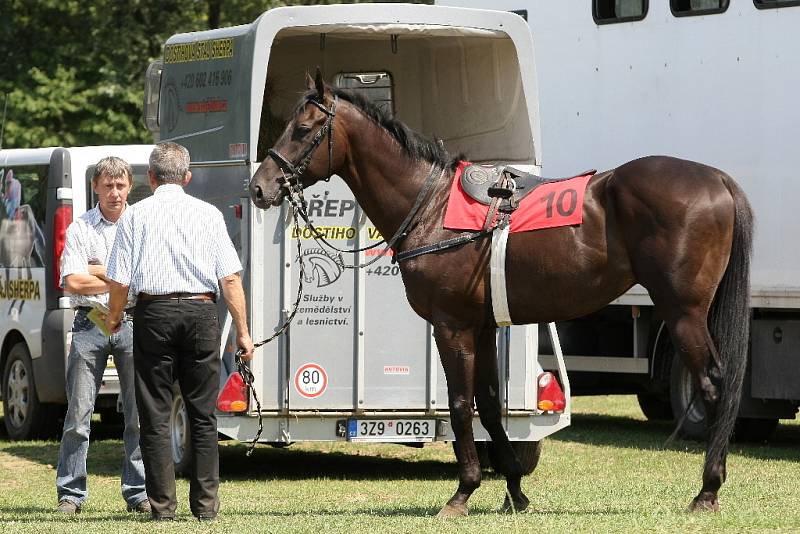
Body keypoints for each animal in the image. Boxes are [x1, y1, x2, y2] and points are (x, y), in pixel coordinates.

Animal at [252, 73, 756, 516]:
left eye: (302, 129)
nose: (259, 187)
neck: (432, 206)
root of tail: (717, 180)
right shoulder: (483, 327)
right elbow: (491, 407)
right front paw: (514, 488)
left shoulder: (451, 326)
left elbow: (460, 407)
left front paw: (463, 492)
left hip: (683, 312)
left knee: (714, 385)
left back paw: (707, 491)